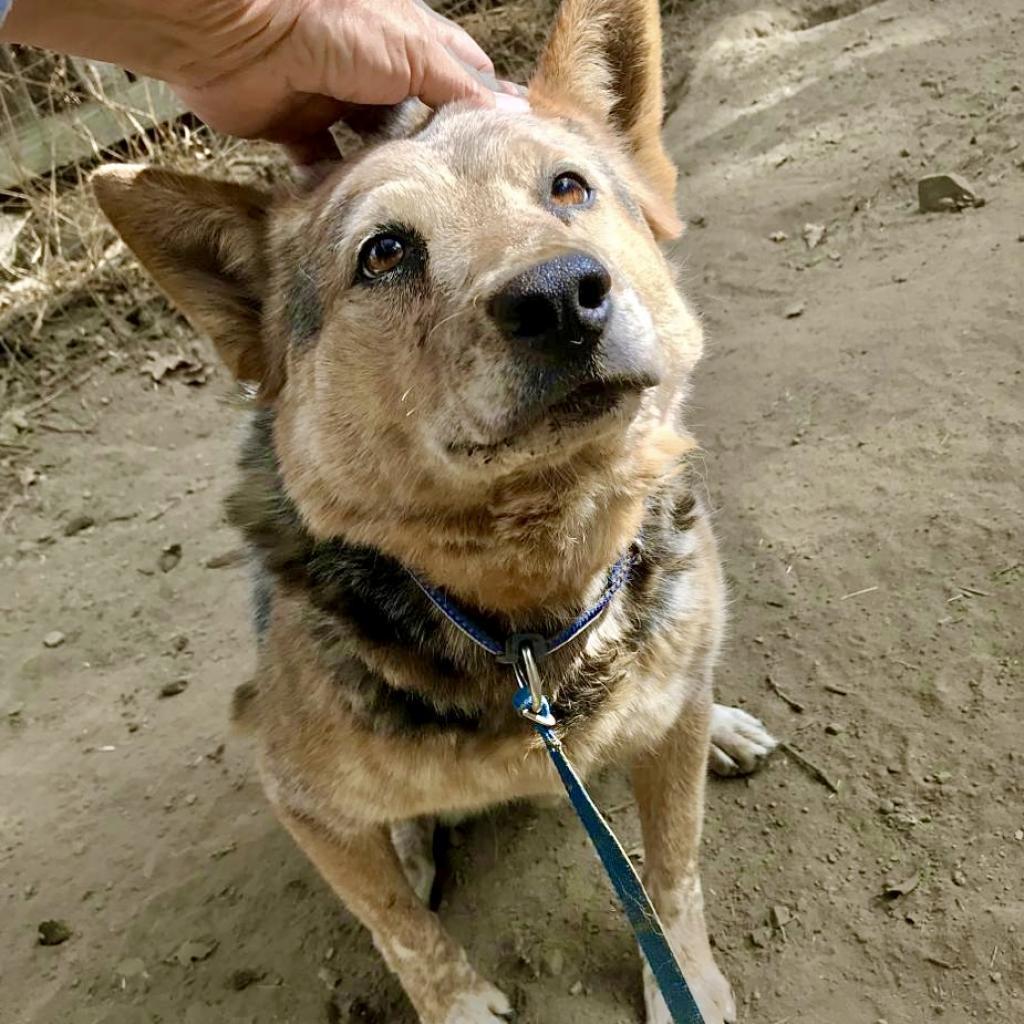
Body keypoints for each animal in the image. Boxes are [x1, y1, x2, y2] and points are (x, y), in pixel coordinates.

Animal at [94, 4, 774, 1019]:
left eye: (568, 187)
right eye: (385, 252)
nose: (560, 297)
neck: (528, 621)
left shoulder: (664, 747)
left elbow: (673, 870)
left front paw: (682, 976)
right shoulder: (296, 793)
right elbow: (400, 930)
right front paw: (456, 1003)